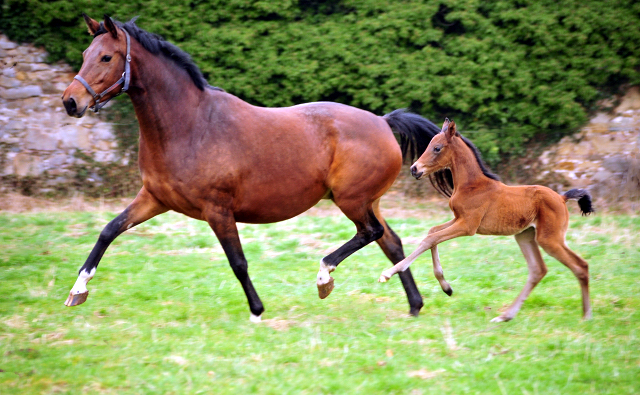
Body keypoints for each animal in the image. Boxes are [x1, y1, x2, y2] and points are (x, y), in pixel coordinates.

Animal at [380, 119, 596, 324]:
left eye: (437, 148)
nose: (414, 169)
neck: (472, 185)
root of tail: (561, 198)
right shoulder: (459, 218)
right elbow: (432, 232)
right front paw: (447, 287)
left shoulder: (468, 225)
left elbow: (429, 239)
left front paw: (388, 273)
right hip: (525, 235)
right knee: (538, 270)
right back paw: (505, 316)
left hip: (550, 239)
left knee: (580, 266)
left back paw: (586, 316)